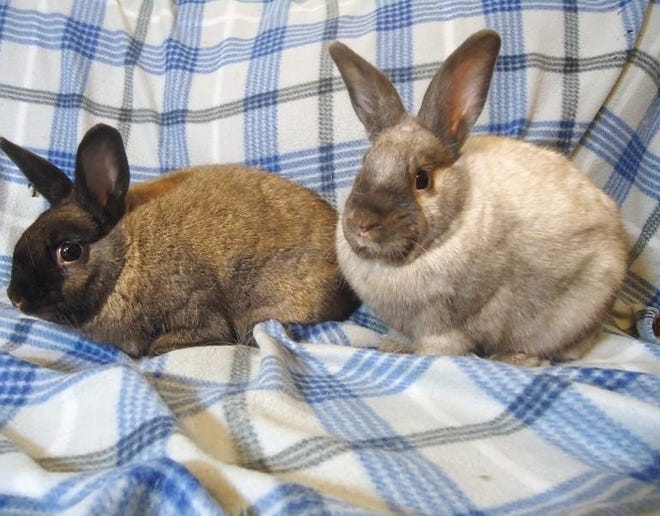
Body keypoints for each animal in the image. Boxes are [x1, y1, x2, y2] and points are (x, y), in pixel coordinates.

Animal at [328, 30, 628, 365]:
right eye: (365, 162)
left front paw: (422, 357)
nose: (362, 225)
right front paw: (392, 346)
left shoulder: (443, 325)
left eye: (422, 178)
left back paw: (517, 359)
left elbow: (440, 346)